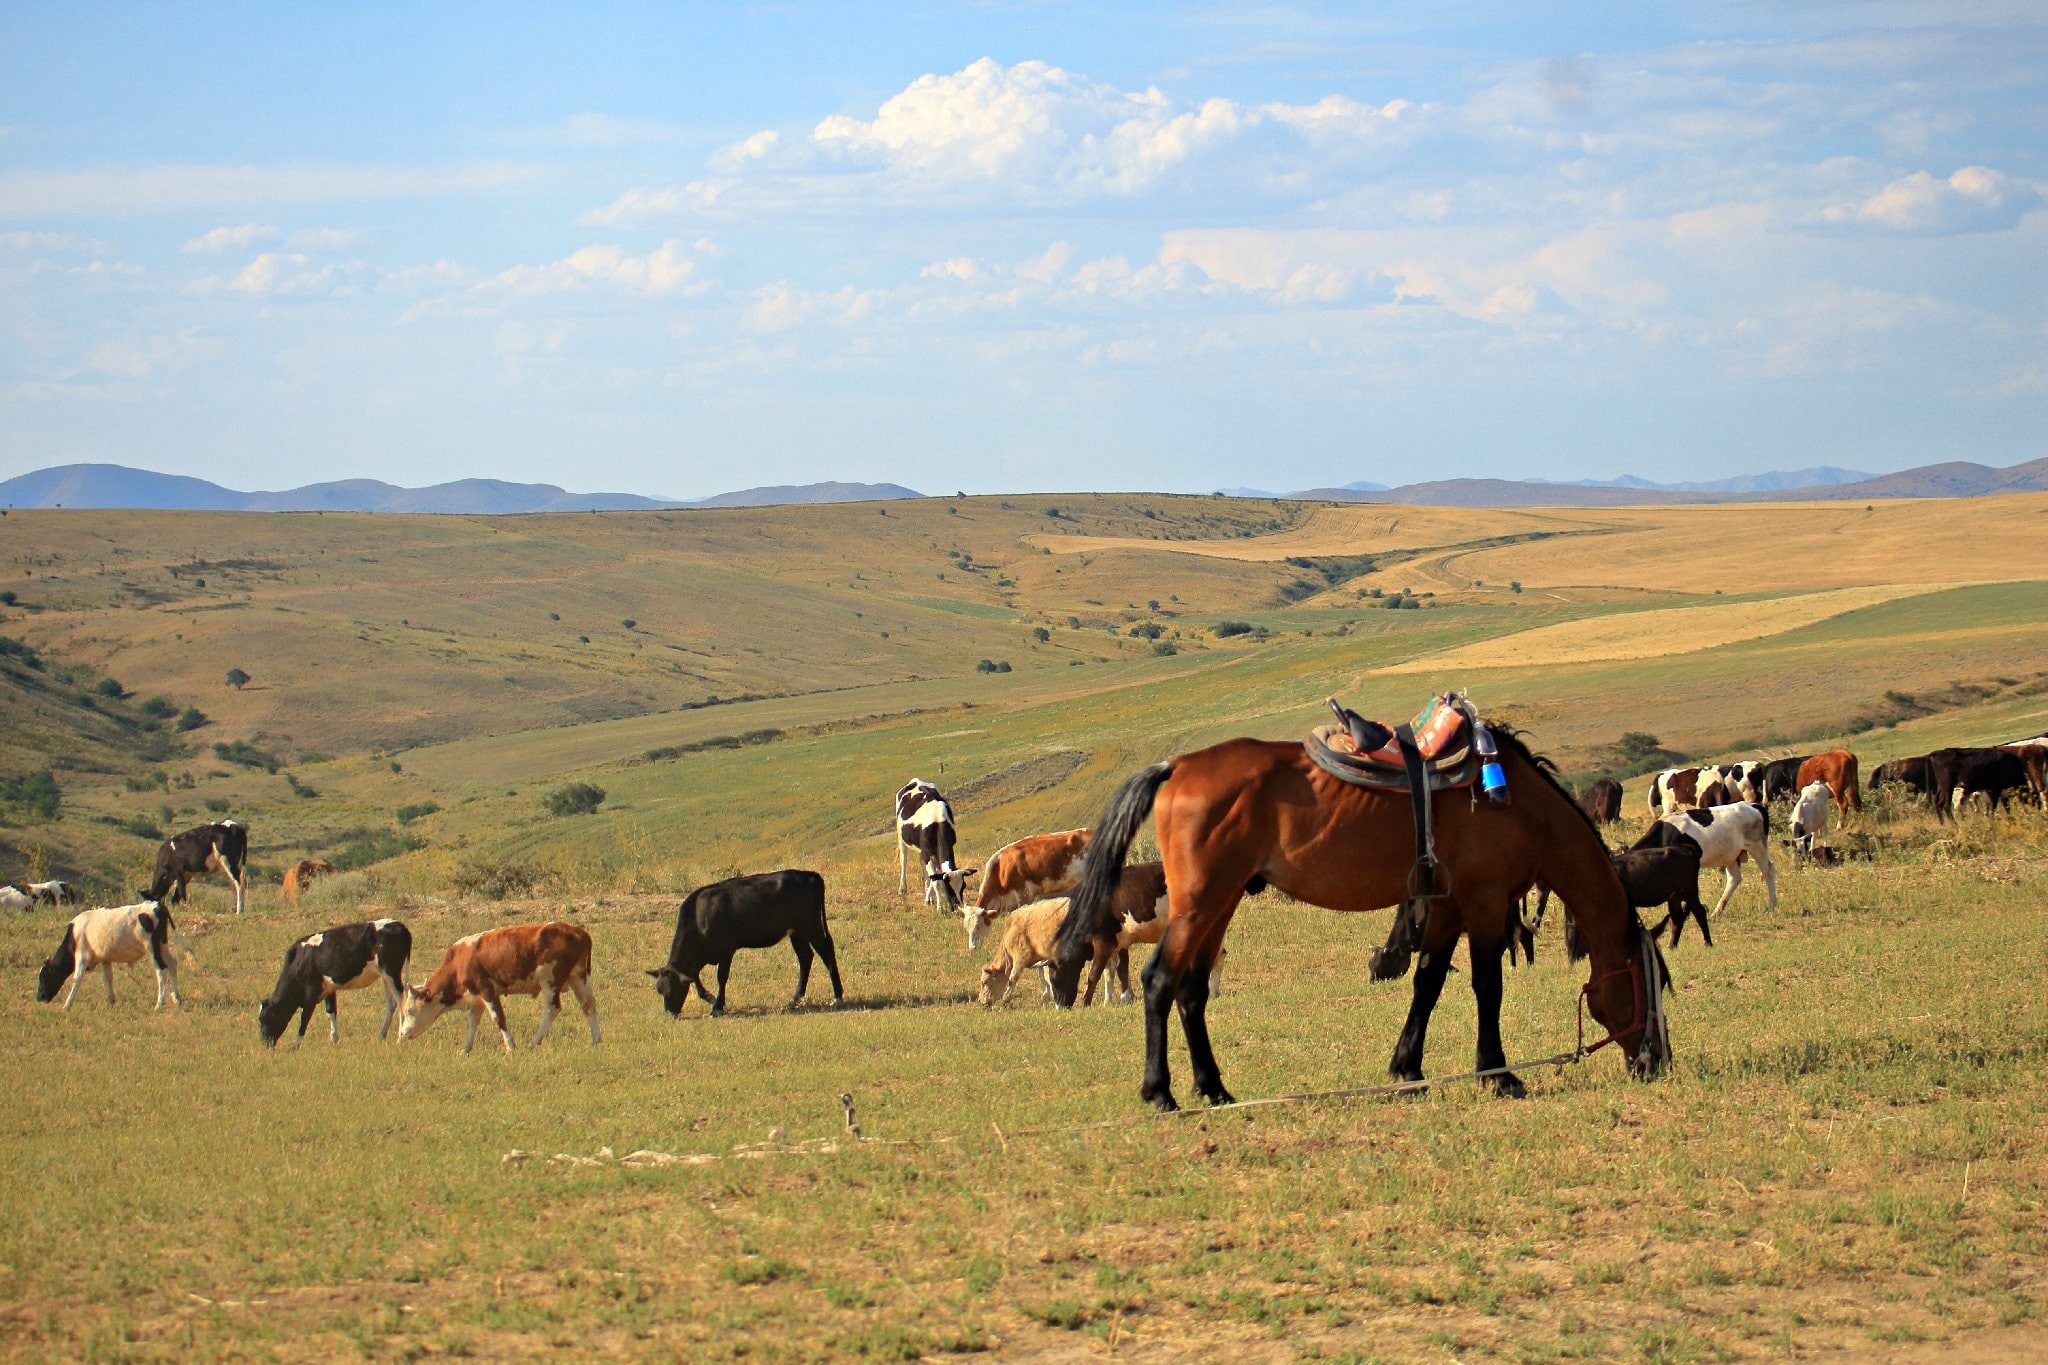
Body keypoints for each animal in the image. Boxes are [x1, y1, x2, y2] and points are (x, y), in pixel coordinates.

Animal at [258, 925, 413, 1055]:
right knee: (391, 1004)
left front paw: (296, 1045)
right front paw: (334, 1039)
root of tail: (399, 925)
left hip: (391, 973)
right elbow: (331, 1011)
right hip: (386, 976)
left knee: (402, 1002)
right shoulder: (329, 989)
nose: (265, 1043)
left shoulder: (311, 994)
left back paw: (400, 1038)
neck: (299, 961)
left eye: (265, 1019)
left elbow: (304, 1020)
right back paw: (381, 1036)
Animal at [395, 916, 598, 1055]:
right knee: (588, 1005)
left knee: (553, 1008)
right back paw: (597, 1040)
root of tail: (579, 933)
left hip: (550, 979)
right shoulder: (475, 998)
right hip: (579, 976)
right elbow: (472, 1023)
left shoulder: (487, 990)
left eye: (409, 1011)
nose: (403, 1034)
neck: (459, 962)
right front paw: (465, 1049)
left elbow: (498, 1018)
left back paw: (533, 1042)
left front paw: (510, 1047)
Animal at [647, 871, 839, 1019]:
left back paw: (837, 997)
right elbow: (695, 977)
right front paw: (710, 997)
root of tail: (810, 875)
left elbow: (721, 977)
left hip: (811, 925)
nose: (670, 1014)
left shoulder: (726, 950)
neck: (699, 916)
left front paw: (717, 1006)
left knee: (826, 953)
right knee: (805, 957)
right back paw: (795, 998)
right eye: (660, 990)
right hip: (796, 932)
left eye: (673, 989)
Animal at [1048, 724, 1671, 1113]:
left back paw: (1215, 1089)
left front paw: (1408, 1071)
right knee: (1159, 981)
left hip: (1220, 904)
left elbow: (1427, 984)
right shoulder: (1486, 903)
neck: (1519, 805)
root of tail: (1176, 768)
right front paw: (1498, 1074)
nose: (1656, 1062)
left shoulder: (1447, 907)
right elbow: (1486, 987)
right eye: (1650, 983)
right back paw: (1162, 1093)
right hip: (1200, 903)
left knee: (1192, 990)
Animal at [1630, 806, 1777, 925]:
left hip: (1757, 845)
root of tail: (1754, 806)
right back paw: (1717, 912)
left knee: (1768, 871)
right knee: (1734, 878)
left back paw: (1771, 906)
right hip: (1731, 854)